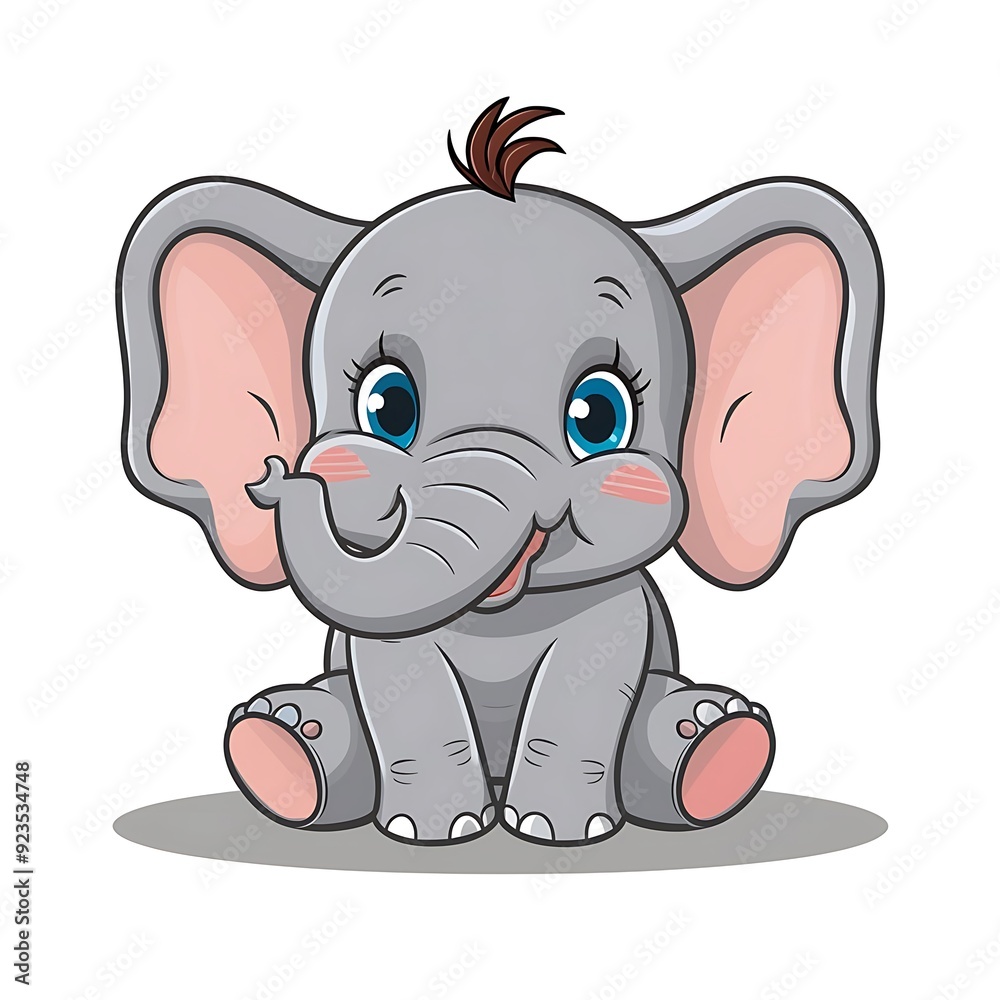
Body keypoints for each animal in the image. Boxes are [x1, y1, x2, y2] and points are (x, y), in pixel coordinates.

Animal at [117, 99, 882, 846]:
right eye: (387, 406)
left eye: (599, 417)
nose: (276, 477)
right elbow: (402, 677)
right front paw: (434, 833)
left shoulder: (612, 609)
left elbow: (587, 678)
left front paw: (559, 833)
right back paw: (284, 739)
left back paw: (713, 738)